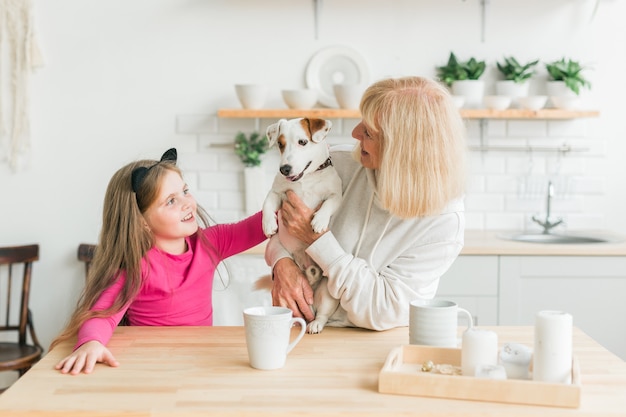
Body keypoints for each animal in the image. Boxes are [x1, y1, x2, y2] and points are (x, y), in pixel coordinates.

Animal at [262, 116, 344, 332]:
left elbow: (328, 204)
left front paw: (319, 221)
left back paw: (315, 324)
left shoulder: (335, 195)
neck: (306, 178)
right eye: (280, 144)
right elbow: (267, 203)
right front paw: (268, 224)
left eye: (303, 142)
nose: (284, 169)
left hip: (327, 294)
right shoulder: (277, 192)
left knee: (322, 315)